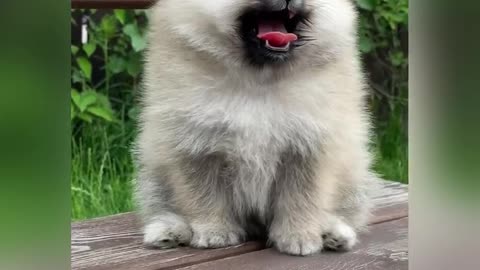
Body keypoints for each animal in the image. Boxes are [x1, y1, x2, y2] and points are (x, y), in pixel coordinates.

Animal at [135, 0, 376, 255]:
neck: (259, 82)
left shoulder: (307, 146)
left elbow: (302, 197)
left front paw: (299, 236)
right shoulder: (197, 144)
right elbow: (205, 196)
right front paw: (215, 231)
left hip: (354, 176)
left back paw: (334, 233)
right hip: (155, 176)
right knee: (162, 205)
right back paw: (168, 230)